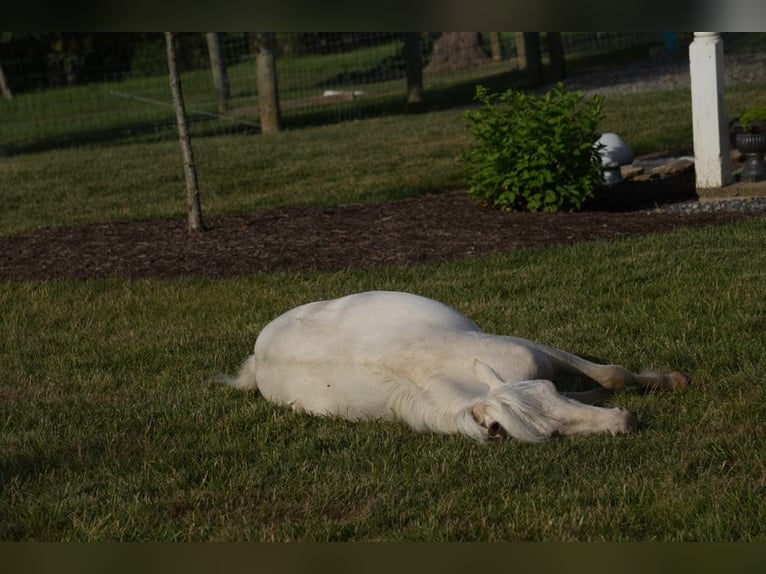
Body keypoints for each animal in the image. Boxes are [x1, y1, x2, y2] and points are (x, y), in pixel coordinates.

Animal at [220, 292, 688, 446]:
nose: (626, 422)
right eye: (553, 434)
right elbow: (604, 383)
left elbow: (610, 374)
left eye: (550, 393)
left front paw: (673, 380)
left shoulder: (532, 353)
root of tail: (257, 356)